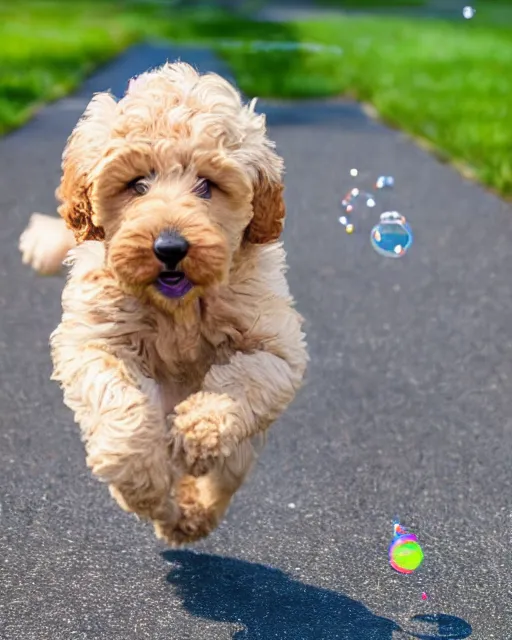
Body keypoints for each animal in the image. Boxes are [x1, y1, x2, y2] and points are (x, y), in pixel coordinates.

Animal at [18, 61, 308, 544]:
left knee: (225, 473)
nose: (170, 248)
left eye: (207, 185)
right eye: (138, 184)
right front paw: (140, 477)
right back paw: (166, 503)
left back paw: (193, 507)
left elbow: (244, 380)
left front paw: (198, 432)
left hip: (239, 454)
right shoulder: (96, 338)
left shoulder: (276, 346)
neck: (178, 307)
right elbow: (120, 401)